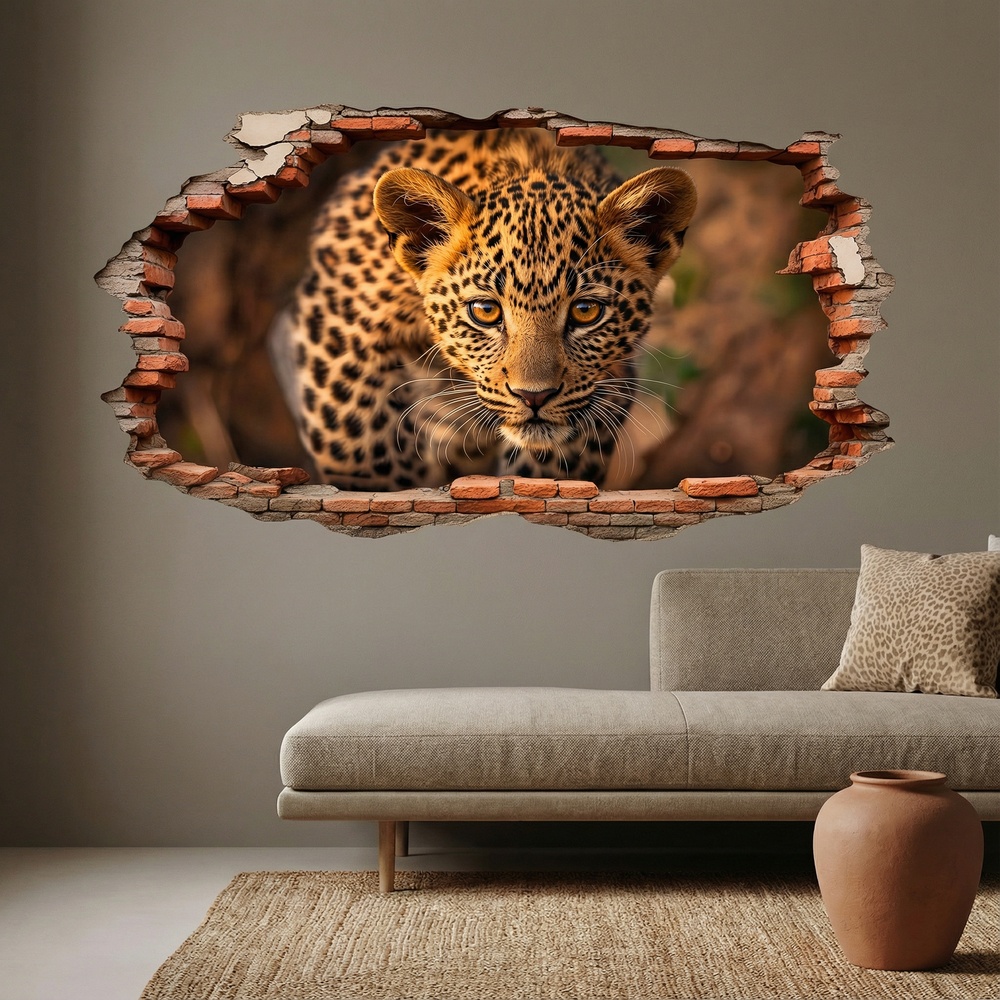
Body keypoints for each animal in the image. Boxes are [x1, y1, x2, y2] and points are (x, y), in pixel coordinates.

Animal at [277, 128, 697, 491]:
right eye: (485, 311)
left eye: (585, 311)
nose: (534, 397)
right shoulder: (338, 325)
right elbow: (357, 441)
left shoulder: (609, 380)